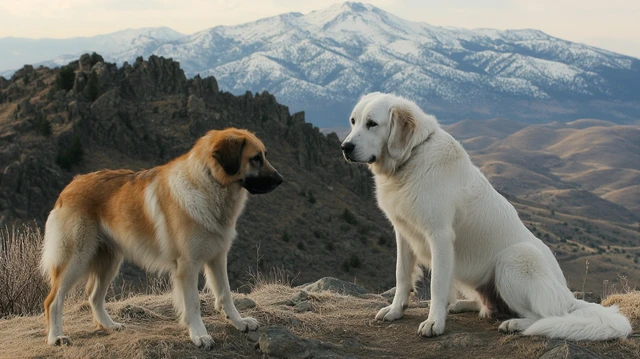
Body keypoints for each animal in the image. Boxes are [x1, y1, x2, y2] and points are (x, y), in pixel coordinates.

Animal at [38, 129, 282, 348]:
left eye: (264, 155)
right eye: (255, 158)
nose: (280, 180)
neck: (208, 184)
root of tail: (70, 186)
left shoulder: (217, 258)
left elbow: (225, 294)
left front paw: (239, 323)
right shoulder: (188, 266)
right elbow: (193, 303)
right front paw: (199, 335)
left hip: (110, 260)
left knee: (94, 296)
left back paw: (109, 325)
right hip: (76, 258)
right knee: (52, 300)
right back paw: (56, 337)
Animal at [340, 93, 632, 340]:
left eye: (372, 123)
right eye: (353, 121)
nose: (345, 146)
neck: (412, 157)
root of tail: (567, 296)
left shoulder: (440, 236)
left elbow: (436, 285)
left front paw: (434, 322)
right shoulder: (403, 233)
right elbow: (402, 275)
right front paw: (396, 310)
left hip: (513, 259)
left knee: (543, 315)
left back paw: (515, 324)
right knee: (488, 306)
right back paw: (464, 304)